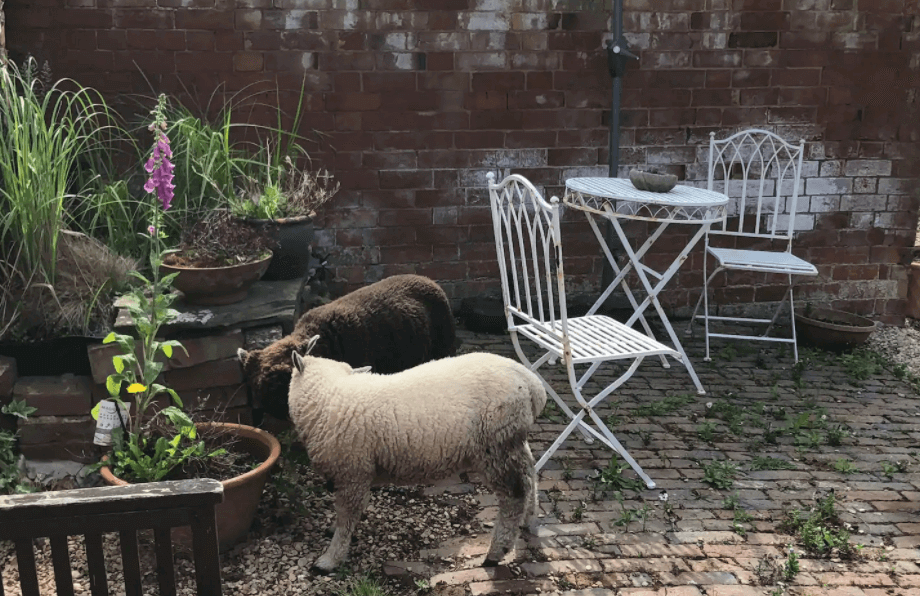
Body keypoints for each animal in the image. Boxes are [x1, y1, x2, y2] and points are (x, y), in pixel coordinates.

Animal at [288, 335, 547, 573]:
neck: (329, 395)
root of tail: (531, 383)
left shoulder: (352, 473)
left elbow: (346, 516)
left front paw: (330, 559)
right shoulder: (357, 474)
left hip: (496, 445)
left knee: (515, 495)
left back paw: (496, 552)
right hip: (511, 439)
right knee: (530, 473)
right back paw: (529, 519)